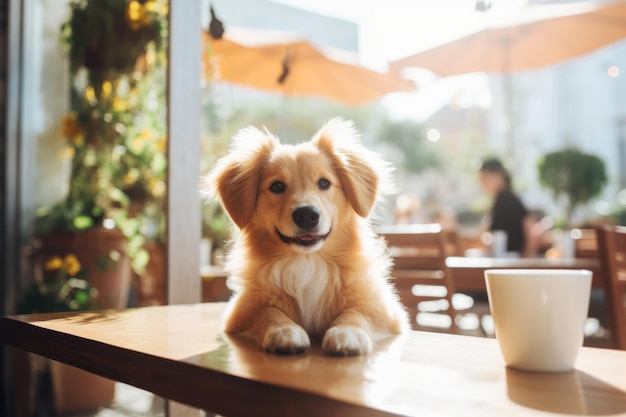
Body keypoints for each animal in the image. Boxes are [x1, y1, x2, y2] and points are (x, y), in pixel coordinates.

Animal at [206, 117, 410, 354]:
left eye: (324, 183)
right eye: (277, 186)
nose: (306, 215)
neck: (308, 261)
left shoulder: (384, 310)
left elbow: (356, 312)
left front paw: (347, 332)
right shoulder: (242, 311)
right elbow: (268, 312)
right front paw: (284, 330)